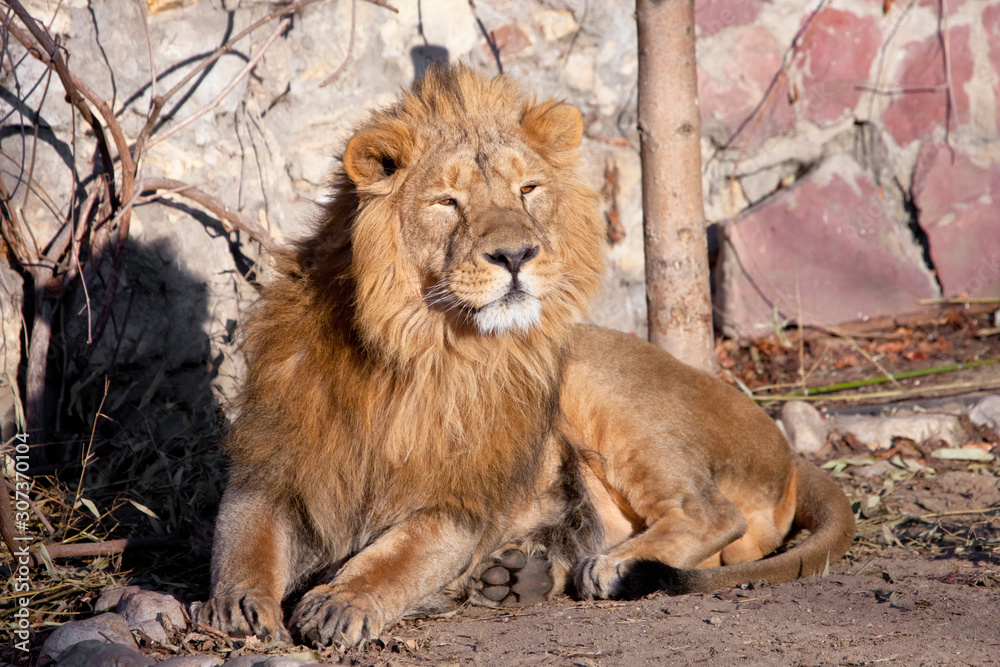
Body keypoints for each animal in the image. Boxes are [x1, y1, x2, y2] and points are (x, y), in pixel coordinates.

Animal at [194, 65, 855, 648]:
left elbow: (398, 556)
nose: (515, 254)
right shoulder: (274, 459)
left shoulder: (458, 500)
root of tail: (787, 454)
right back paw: (514, 575)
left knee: (714, 515)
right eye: (447, 201)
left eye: (527, 190)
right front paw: (237, 606)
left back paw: (607, 567)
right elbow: (245, 541)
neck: (406, 352)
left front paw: (342, 601)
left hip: (595, 382)